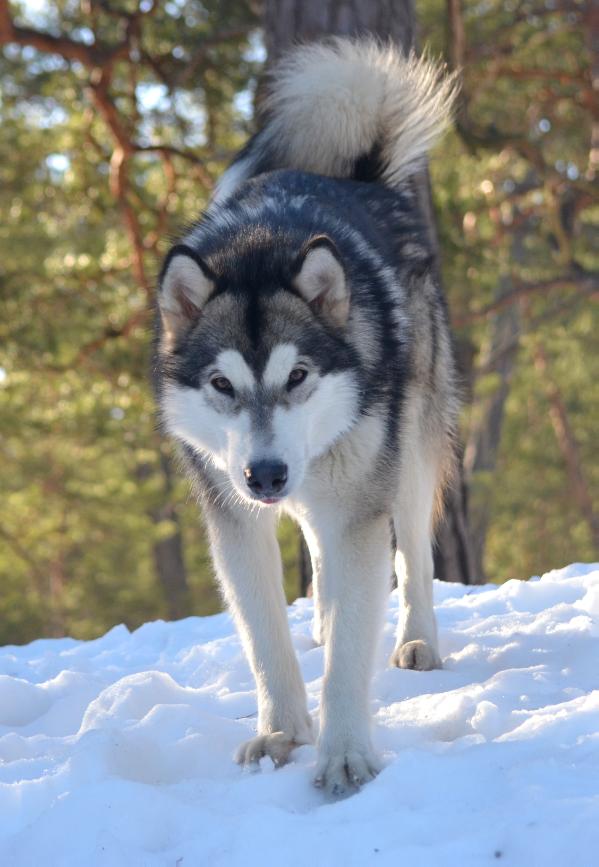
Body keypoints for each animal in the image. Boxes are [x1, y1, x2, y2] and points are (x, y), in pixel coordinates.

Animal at [155, 40, 460, 800]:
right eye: (221, 384)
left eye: (296, 376)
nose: (265, 474)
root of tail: (358, 176)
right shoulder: (234, 517)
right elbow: (264, 640)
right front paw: (281, 733)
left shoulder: (358, 508)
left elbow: (353, 644)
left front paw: (345, 754)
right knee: (320, 560)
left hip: (403, 459)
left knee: (412, 555)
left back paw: (417, 641)